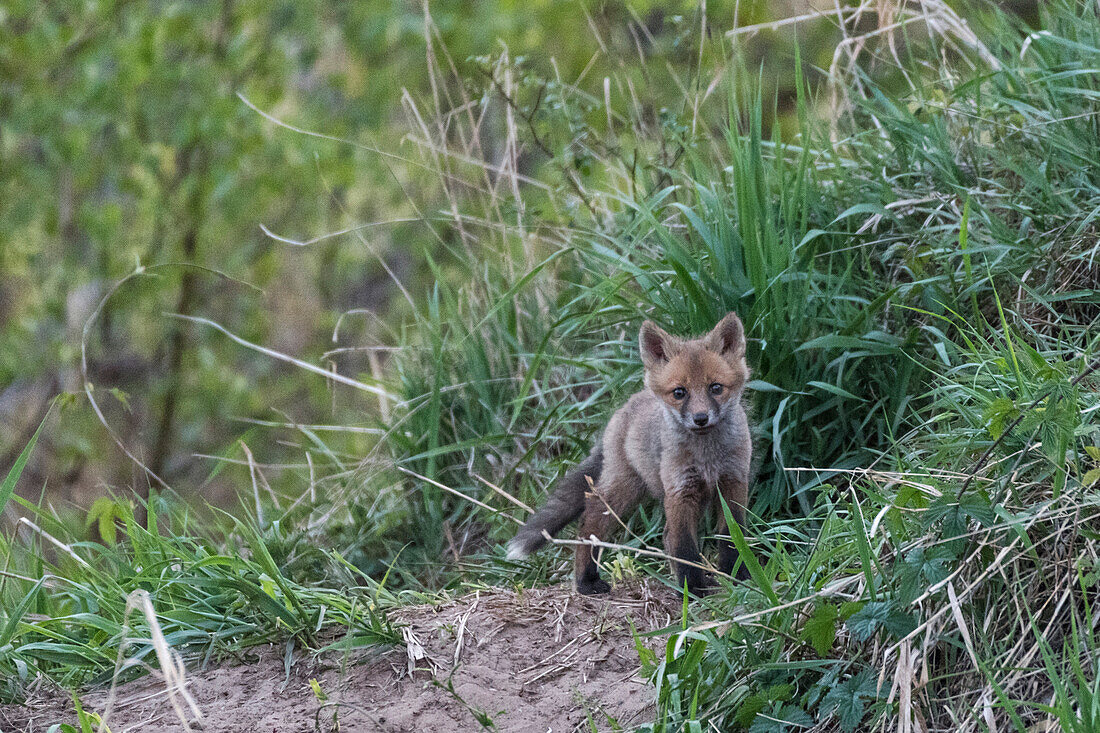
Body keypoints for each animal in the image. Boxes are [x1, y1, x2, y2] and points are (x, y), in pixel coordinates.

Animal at [508, 310, 756, 594]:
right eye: (679, 392)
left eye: (715, 388)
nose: (701, 418)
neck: (707, 456)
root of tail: (625, 407)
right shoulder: (680, 490)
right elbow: (685, 547)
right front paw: (691, 590)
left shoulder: (732, 482)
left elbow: (732, 537)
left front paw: (740, 577)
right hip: (624, 490)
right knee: (591, 519)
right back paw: (586, 581)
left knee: (665, 534)